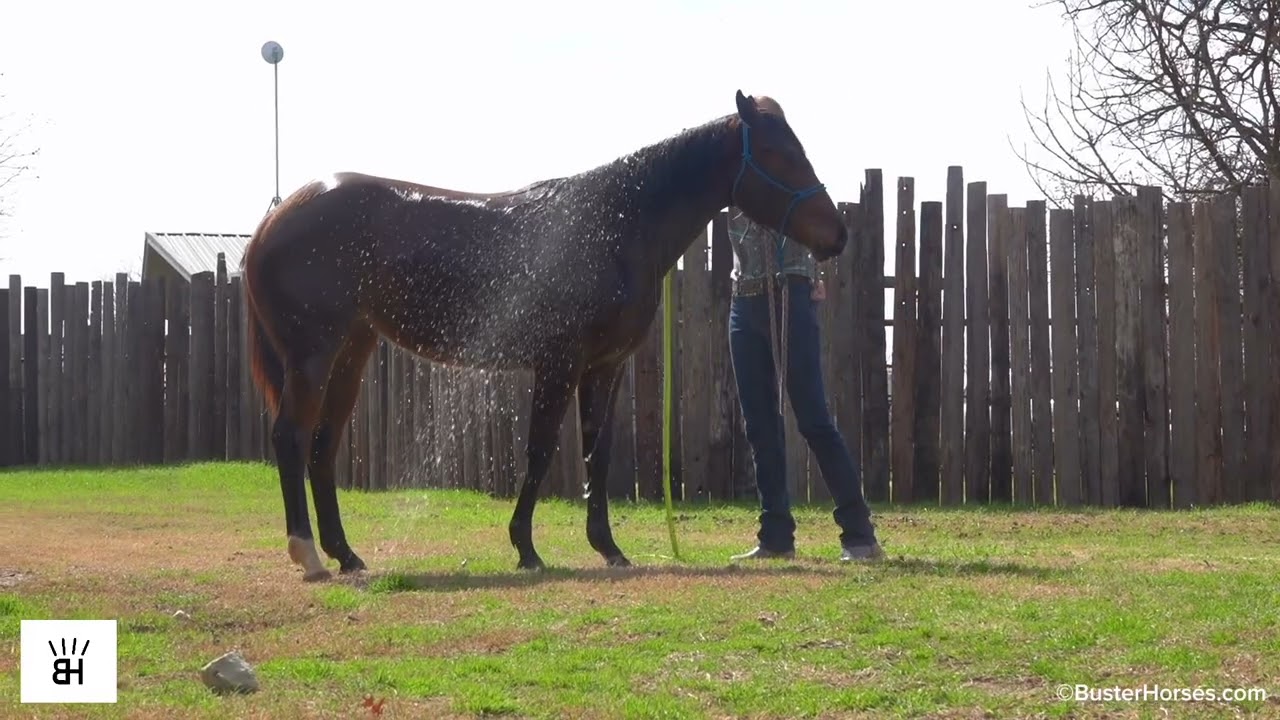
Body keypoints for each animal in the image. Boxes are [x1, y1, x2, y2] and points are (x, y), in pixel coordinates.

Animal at [240, 90, 849, 582]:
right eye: (779, 154)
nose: (836, 236)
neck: (614, 225)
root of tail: (273, 221)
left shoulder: (604, 367)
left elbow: (597, 454)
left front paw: (608, 548)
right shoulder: (559, 364)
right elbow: (538, 450)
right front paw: (526, 549)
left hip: (351, 354)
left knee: (322, 447)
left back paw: (346, 555)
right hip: (314, 357)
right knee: (291, 438)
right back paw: (309, 555)